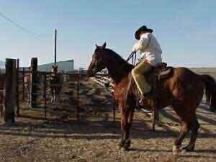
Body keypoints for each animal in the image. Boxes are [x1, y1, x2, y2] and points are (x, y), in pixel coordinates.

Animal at [87, 42, 216, 155]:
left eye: (96, 56)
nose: (89, 72)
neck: (123, 77)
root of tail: (198, 76)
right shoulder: (131, 106)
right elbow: (128, 124)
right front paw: (127, 144)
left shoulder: (123, 105)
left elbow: (123, 124)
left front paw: (121, 144)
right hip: (190, 109)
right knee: (195, 125)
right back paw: (189, 147)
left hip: (181, 107)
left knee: (187, 125)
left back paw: (177, 145)